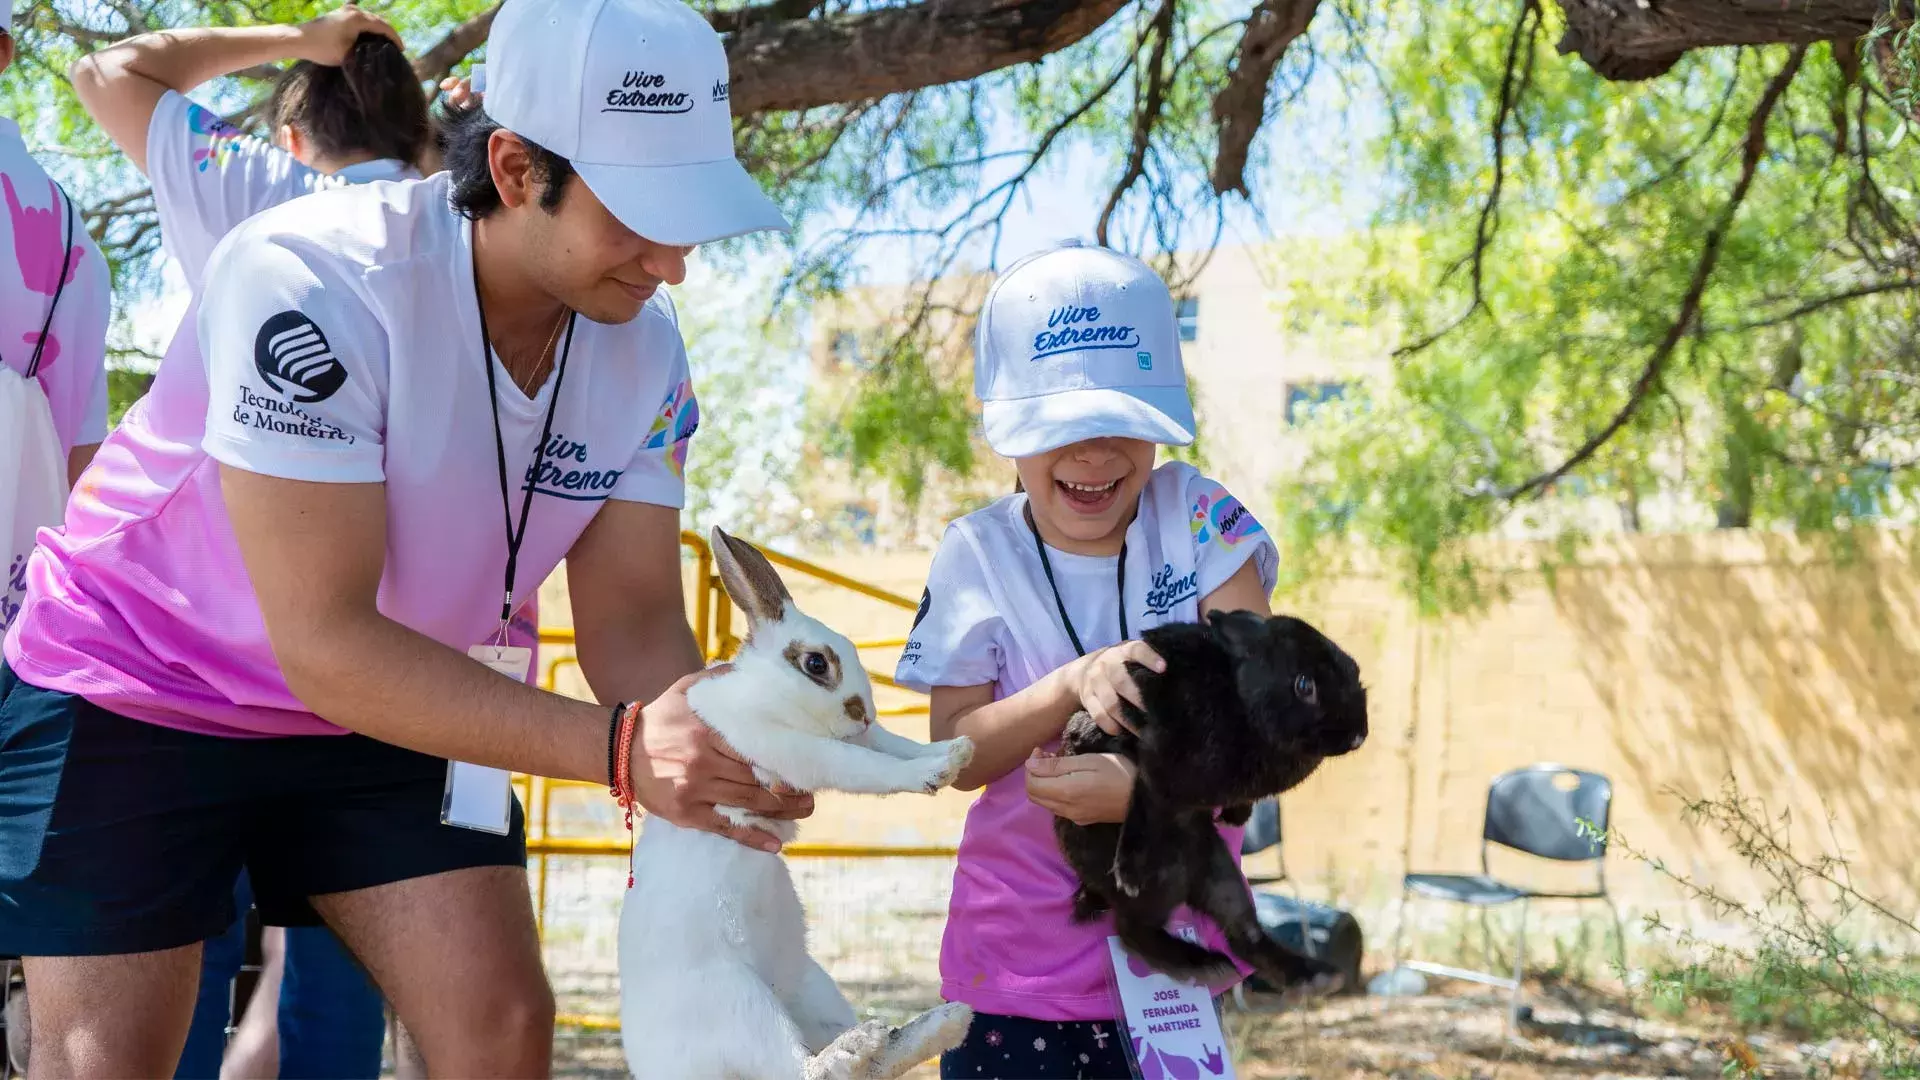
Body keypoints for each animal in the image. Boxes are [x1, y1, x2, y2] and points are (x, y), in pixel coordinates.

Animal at [622, 526, 975, 1076]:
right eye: (815, 663)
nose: (863, 713)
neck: (764, 693)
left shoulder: (858, 739)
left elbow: (891, 746)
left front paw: (955, 752)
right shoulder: (793, 752)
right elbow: (862, 766)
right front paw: (933, 771)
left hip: (810, 986)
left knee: (869, 1066)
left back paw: (939, 1023)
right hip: (741, 1003)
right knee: (806, 1068)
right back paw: (864, 1042)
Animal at [1052, 611, 1367, 991]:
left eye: (1354, 668)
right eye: (1304, 685)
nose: (1359, 734)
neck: (1239, 700)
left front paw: (1236, 815)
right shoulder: (1157, 766)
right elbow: (1142, 810)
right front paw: (1128, 871)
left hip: (1221, 874)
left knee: (1245, 934)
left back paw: (1316, 975)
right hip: (1157, 885)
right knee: (1131, 930)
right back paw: (1201, 962)